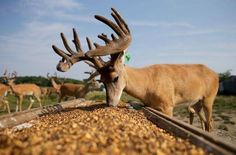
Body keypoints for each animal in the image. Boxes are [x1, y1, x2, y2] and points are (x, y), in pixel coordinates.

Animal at [51, 7, 218, 131]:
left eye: (116, 77)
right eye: (101, 80)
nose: (110, 104)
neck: (148, 84)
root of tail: (215, 73)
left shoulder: (168, 105)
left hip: (209, 97)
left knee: (210, 122)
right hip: (195, 102)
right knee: (204, 121)